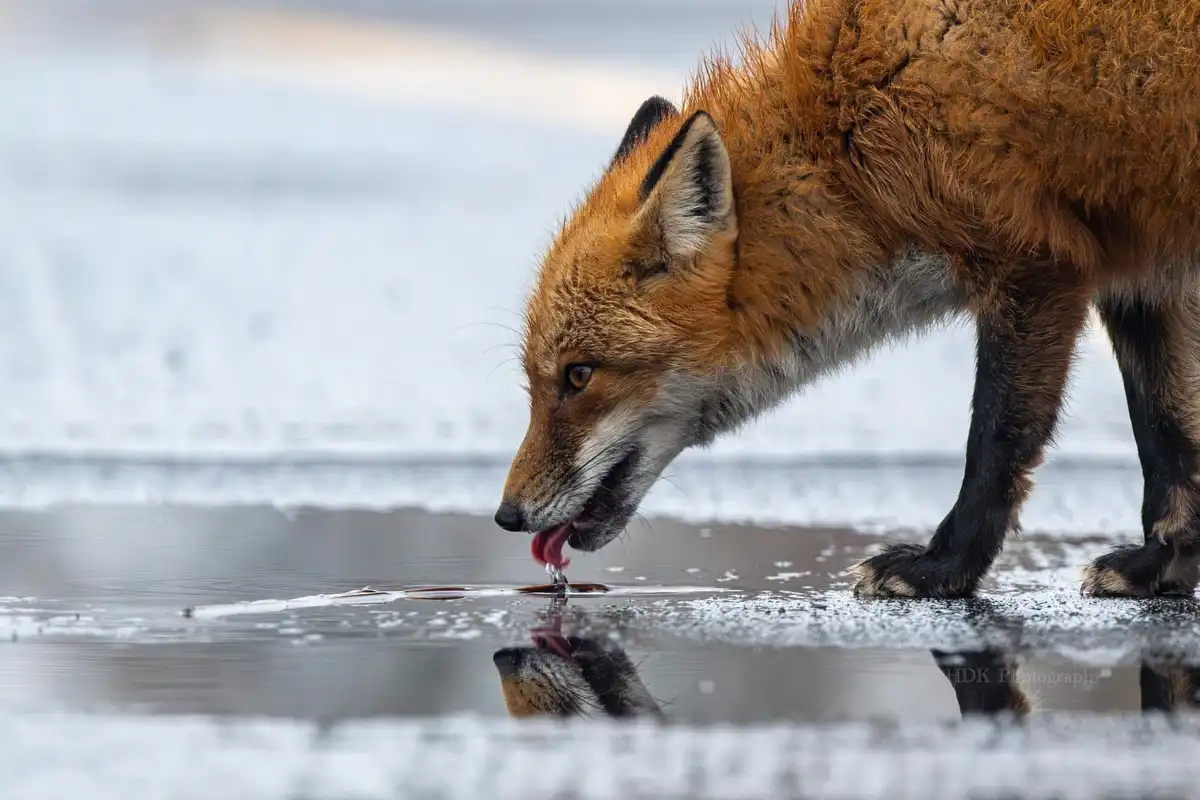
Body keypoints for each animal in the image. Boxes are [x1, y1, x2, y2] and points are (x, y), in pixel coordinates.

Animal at [493, 0, 1200, 600]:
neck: (846, 136)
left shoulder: (1036, 267)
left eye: (578, 376)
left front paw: (943, 568)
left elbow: (998, 439)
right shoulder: (1135, 269)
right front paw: (1166, 562)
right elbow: (1166, 431)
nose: (506, 515)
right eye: (537, 381)